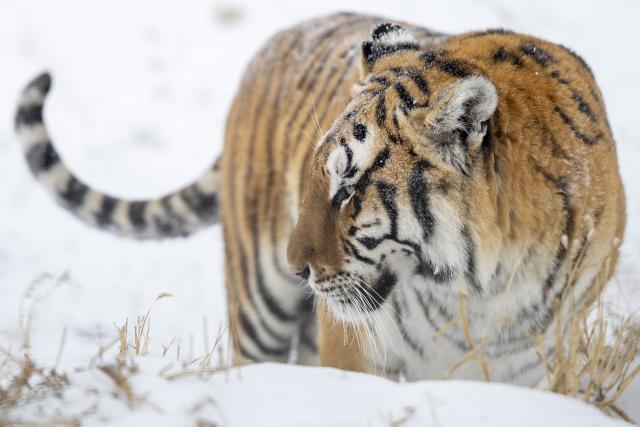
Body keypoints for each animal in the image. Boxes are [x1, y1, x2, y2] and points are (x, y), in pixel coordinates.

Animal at [15, 13, 625, 385]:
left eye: (350, 190)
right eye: (316, 180)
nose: (297, 268)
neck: (475, 289)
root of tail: (284, 33)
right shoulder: (356, 351)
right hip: (257, 304)